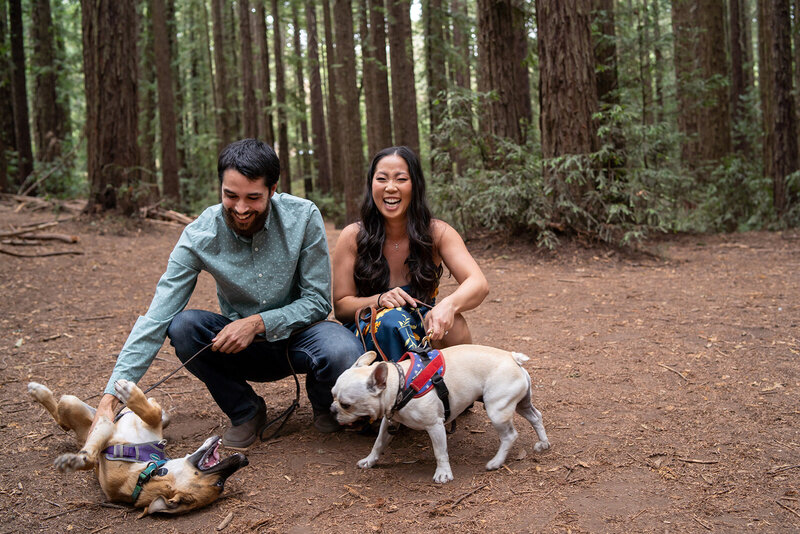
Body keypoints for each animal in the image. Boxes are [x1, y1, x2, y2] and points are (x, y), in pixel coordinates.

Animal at [28, 378, 247, 516]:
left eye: (219, 483)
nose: (243, 460)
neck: (145, 470)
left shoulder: (110, 430)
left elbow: (150, 413)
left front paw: (75, 460)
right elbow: (151, 411)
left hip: (73, 406)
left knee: (61, 418)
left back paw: (38, 391)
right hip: (83, 408)